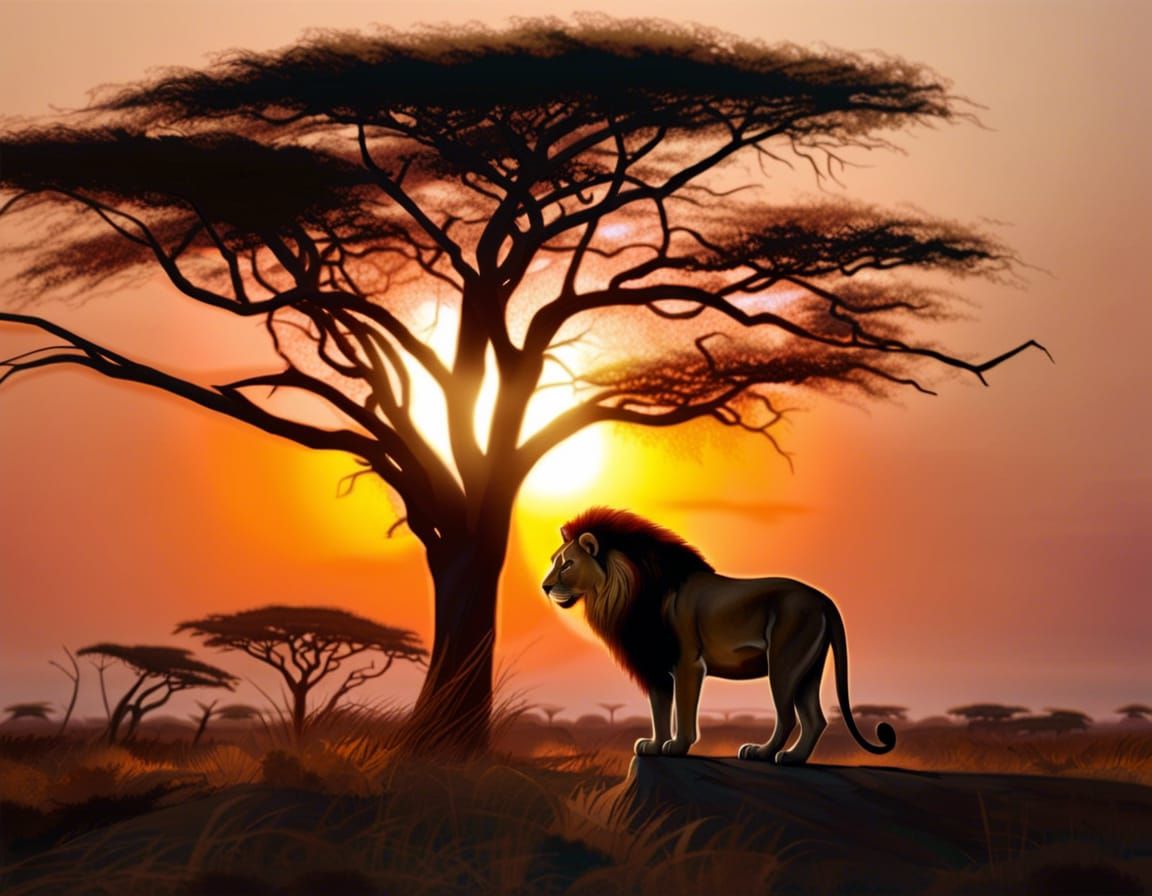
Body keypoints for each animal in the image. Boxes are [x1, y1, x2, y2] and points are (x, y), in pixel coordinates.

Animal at [541, 507, 895, 763]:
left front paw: (678, 746)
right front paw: (654, 744)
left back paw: (762, 753)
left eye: (568, 564)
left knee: (788, 717)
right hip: (808, 668)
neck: (623, 592)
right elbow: (659, 708)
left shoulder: (687, 663)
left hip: (784, 663)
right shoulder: (655, 665)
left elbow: (683, 709)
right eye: (553, 561)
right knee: (814, 719)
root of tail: (823, 599)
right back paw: (793, 758)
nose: (544, 586)